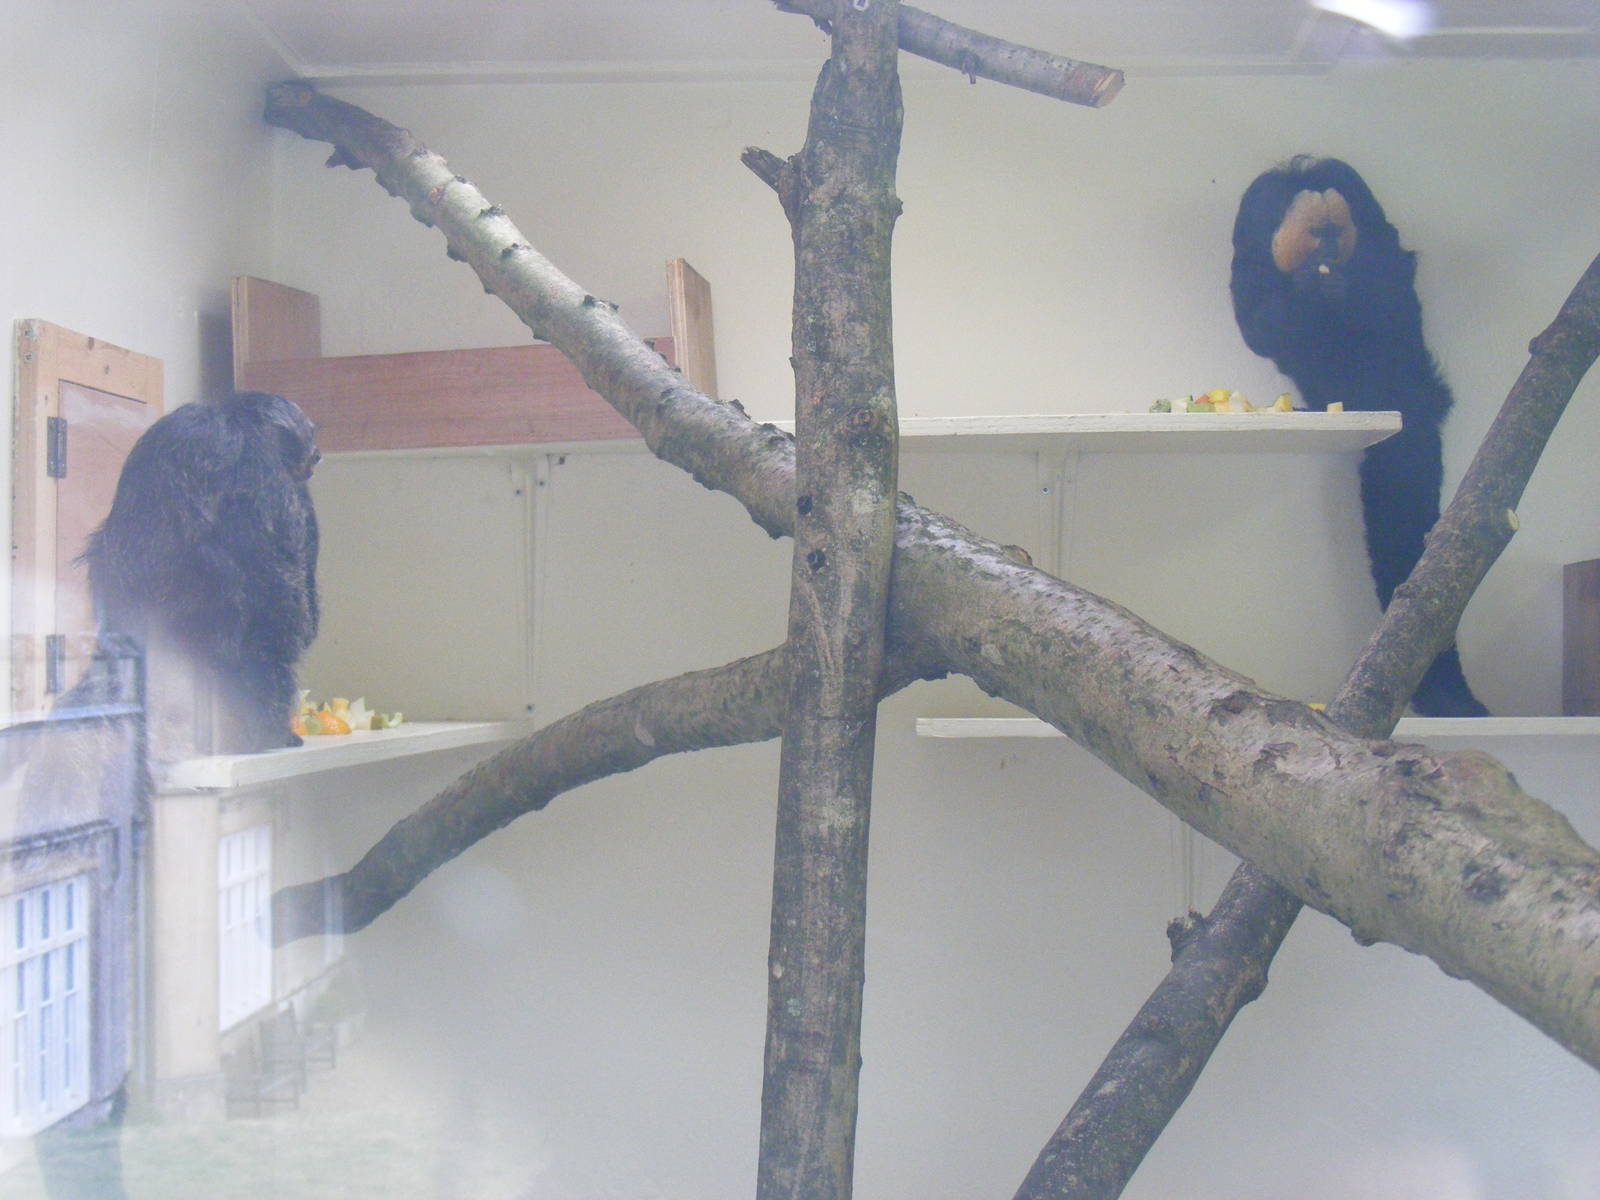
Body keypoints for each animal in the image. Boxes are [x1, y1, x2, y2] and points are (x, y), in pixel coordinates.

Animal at [1230, 155, 1488, 717]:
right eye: (1317, 236)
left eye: (1333, 234)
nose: (1328, 253)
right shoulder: (1252, 229)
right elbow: (1258, 320)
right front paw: (1310, 287)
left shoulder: (1366, 210)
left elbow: (1390, 288)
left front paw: (1345, 284)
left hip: (1412, 395)